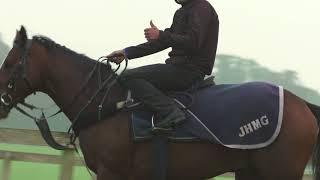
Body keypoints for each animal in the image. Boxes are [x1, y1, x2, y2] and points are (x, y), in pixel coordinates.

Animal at [0, 25, 320, 180]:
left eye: (11, 62)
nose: (0, 100)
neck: (105, 104)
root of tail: (302, 104)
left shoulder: (111, 173)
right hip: (249, 172)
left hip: (280, 173)